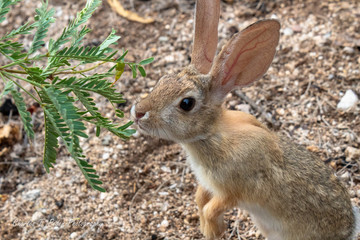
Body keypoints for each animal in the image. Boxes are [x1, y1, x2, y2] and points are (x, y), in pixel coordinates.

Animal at [131, 0, 358, 240]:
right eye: (162, 79)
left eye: (186, 103)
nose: (138, 112)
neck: (211, 134)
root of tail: (349, 230)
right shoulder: (208, 184)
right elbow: (200, 198)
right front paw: (207, 227)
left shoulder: (233, 191)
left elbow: (212, 208)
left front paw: (213, 230)